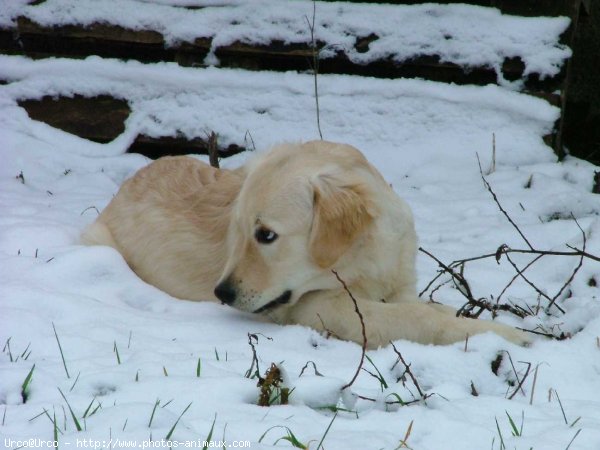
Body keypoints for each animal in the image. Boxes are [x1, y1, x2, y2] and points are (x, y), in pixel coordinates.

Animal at [81, 141, 528, 348]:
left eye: (266, 235)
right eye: (239, 231)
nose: (221, 293)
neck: (365, 258)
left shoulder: (398, 290)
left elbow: (434, 309)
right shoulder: (328, 308)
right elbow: (420, 318)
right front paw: (514, 338)